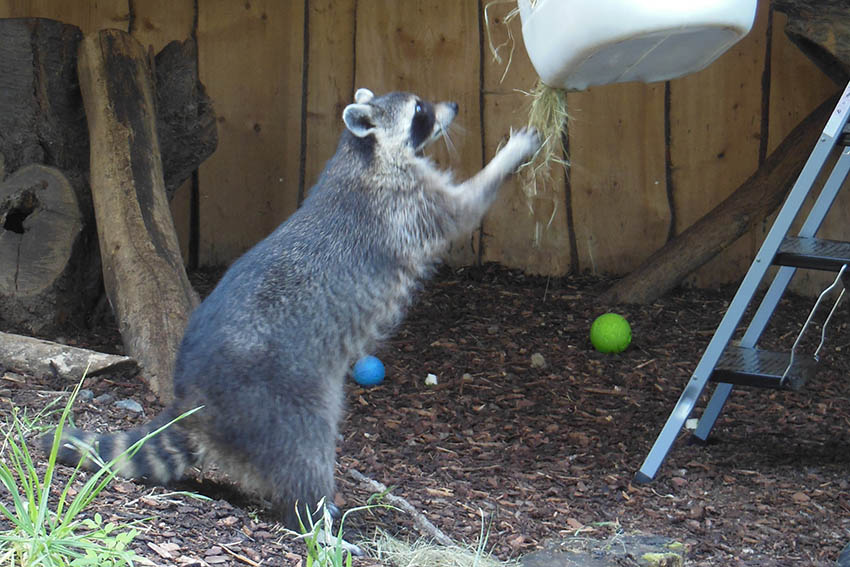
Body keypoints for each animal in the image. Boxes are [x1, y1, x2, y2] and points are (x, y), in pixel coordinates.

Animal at [48, 87, 536, 528]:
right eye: (419, 110)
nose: (452, 106)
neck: (361, 153)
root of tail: (192, 396)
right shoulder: (408, 203)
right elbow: (465, 205)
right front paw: (508, 156)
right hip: (277, 397)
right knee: (306, 449)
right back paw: (316, 518)